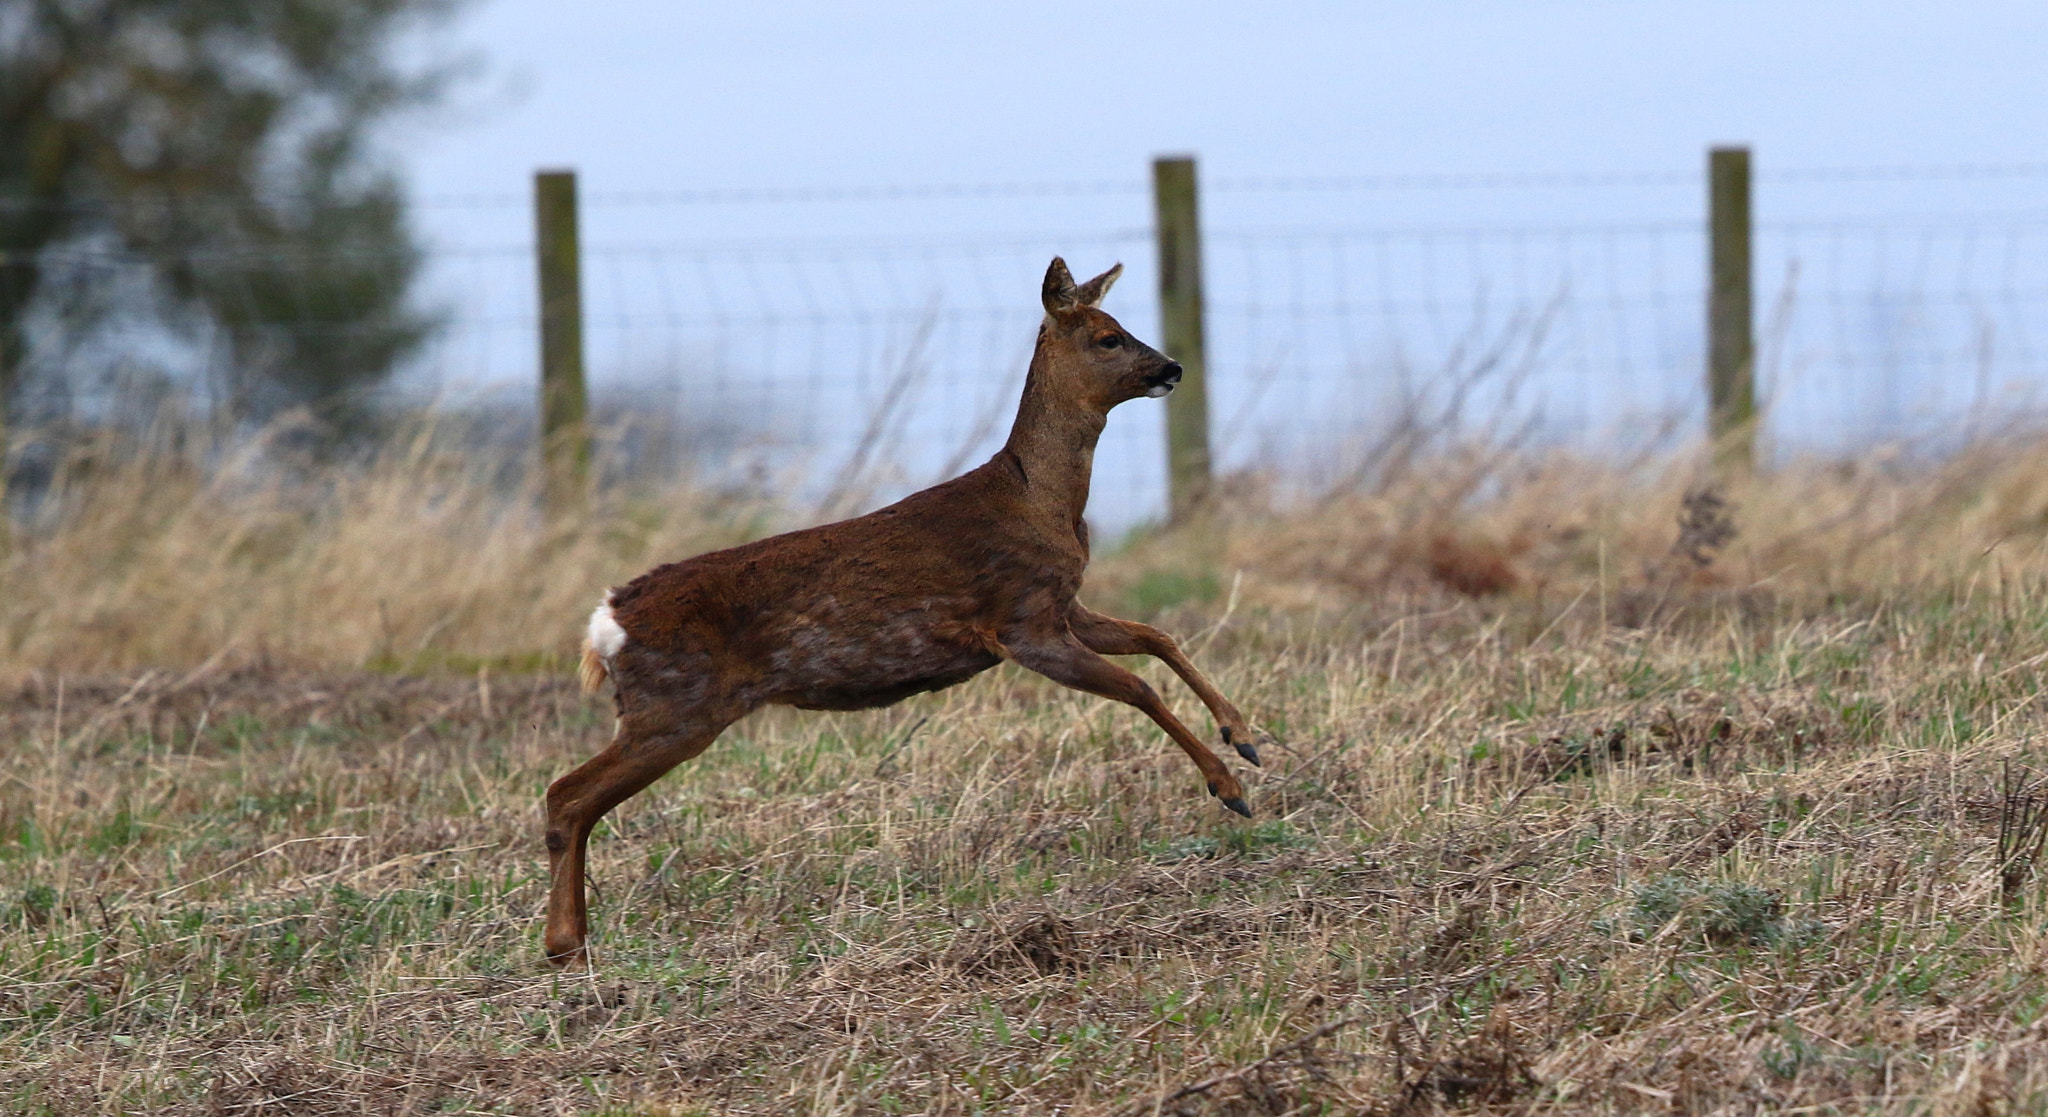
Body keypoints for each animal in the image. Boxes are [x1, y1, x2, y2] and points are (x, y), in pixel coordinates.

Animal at [544, 257, 1261, 965]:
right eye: (1109, 337)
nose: (1172, 367)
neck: (1040, 499)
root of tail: (606, 621)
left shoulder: (1063, 607)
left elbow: (1156, 636)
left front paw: (1245, 736)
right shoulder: (1020, 620)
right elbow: (1139, 686)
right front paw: (1228, 787)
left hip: (664, 709)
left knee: (572, 797)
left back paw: (570, 944)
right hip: (677, 705)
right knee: (567, 794)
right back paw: (564, 943)